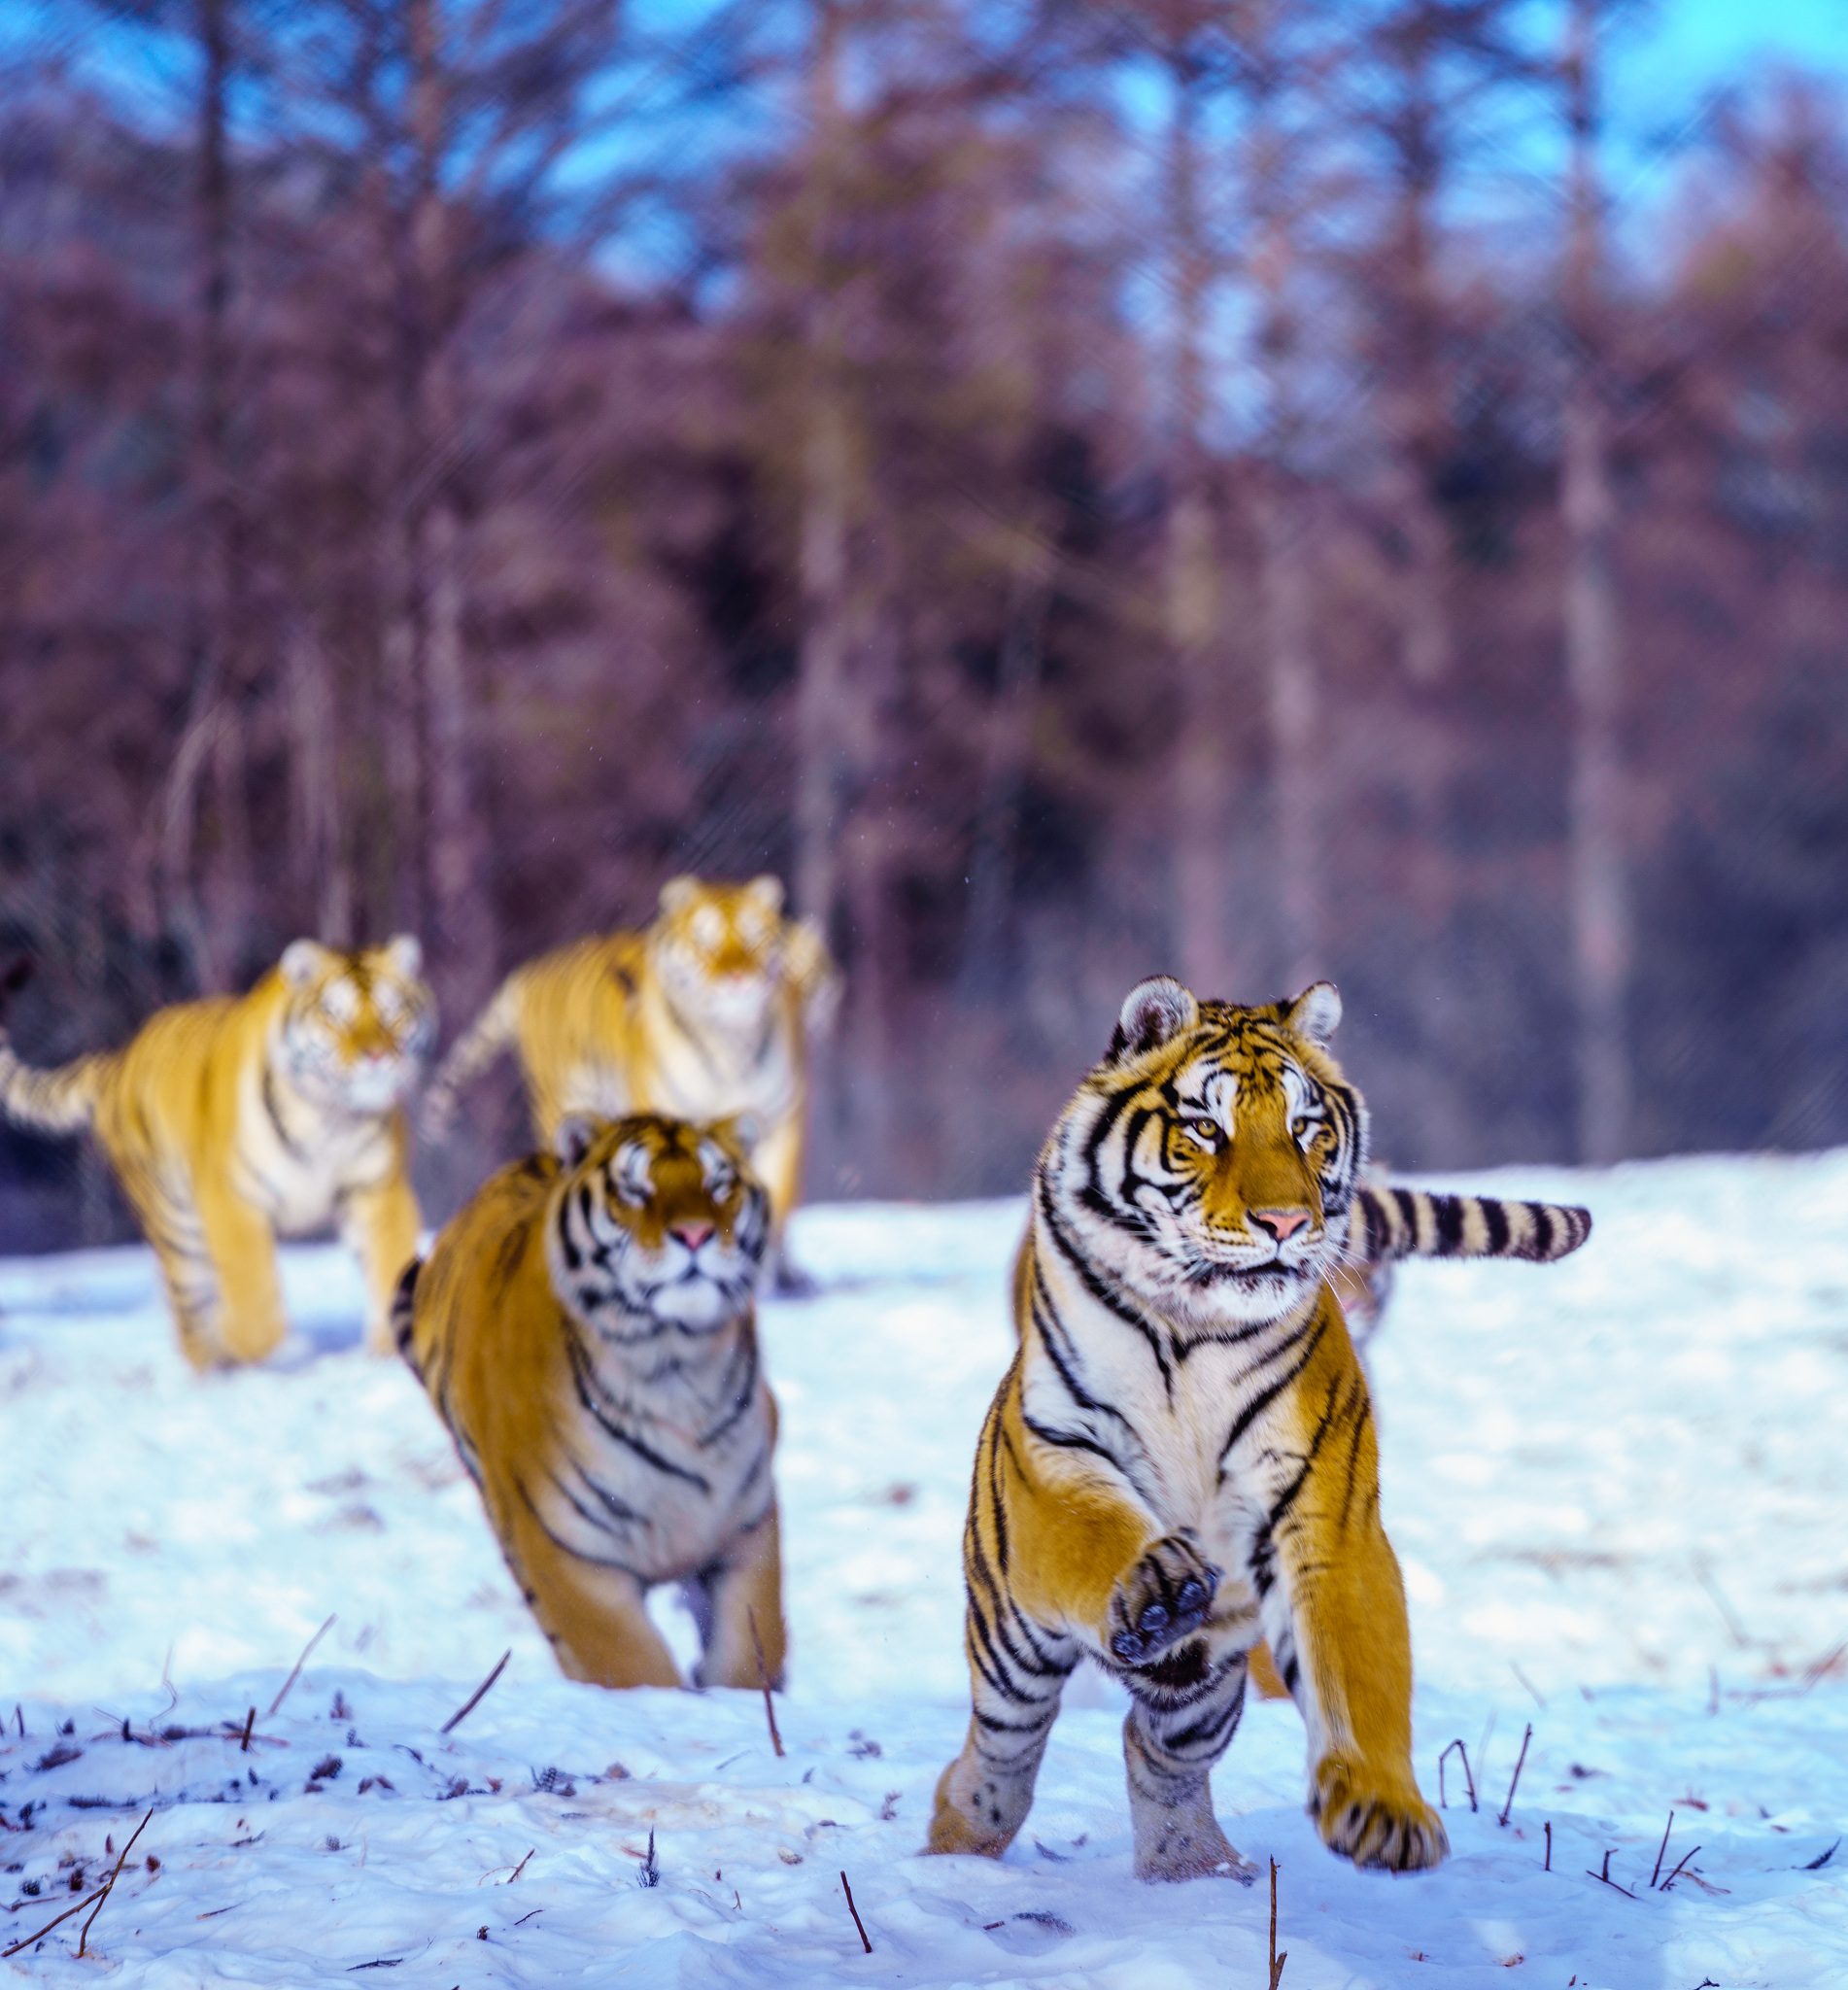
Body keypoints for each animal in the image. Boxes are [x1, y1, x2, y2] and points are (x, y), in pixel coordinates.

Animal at [0, 937, 434, 1371]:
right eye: (334, 1017)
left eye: (393, 1013)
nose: (376, 1057)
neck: (327, 1115)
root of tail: (117, 1061)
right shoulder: (231, 1195)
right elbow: (252, 1294)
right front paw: (239, 1340)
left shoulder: (377, 1187)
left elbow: (390, 1259)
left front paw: (390, 1349)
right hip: (177, 1227)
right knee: (189, 1315)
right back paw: (213, 1365)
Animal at [393, 1111, 785, 1691]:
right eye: (635, 1190)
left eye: (718, 1185)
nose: (696, 1233)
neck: (676, 1365)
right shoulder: (568, 1554)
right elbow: (632, 1665)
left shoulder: (746, 1531)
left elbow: (749, 1651)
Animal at [420, 875, 838, 1285]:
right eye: (704, 942)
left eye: (756, 938)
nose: (738, 977)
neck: (733, 1041)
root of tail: (531, 972)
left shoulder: (781, 1122)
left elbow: (779, 1194)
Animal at [928, 975, 1592, 1880]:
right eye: (1208, 1129)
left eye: (1307, 1129)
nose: (1285, 1224)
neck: (1192, 1327)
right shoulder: (1053, 1454)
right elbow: (1094, 1530)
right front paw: (1156, 1584)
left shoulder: (1324, 1510)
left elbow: (1358, 1670)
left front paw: (1384, 1812)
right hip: (1012, 1652)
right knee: (1000, 1760)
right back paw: (957, 1847)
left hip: (1197, 1694)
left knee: (1157, 1753)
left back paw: (1193, 1872)